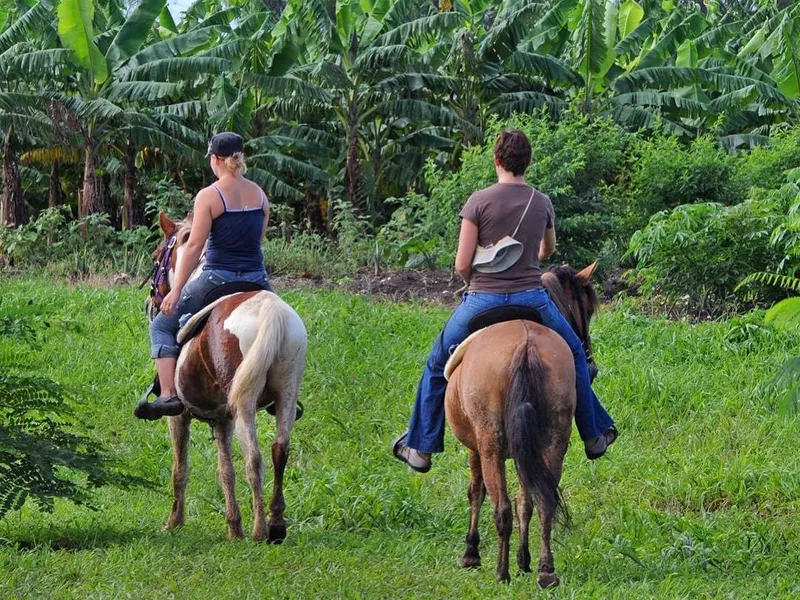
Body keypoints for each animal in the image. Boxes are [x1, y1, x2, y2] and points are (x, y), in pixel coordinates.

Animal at [148, 213, 308, 540]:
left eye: (158, 256)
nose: (155, 302)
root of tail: (269, 309)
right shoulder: (222, 420)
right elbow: (226, 471)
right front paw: (234, 528)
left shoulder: (178, 416)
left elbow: (180, 468)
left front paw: (174, 522)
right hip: (286, 393)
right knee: (279, 450)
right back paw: (276, 524)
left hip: (244, 404)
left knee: (254, 457)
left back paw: (260, 530)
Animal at [444, 262, 600, 584]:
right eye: (588, 310)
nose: (591, 366)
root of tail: (525, 347)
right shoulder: (526, 448)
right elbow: (525, 501)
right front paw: (523, 559)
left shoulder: (475, 448)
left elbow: (476, 491)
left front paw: (471, 552)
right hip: (553, 440)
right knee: (544, 501)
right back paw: (545, 569)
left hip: (490, 445)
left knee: (501, 506)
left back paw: (502, 572)